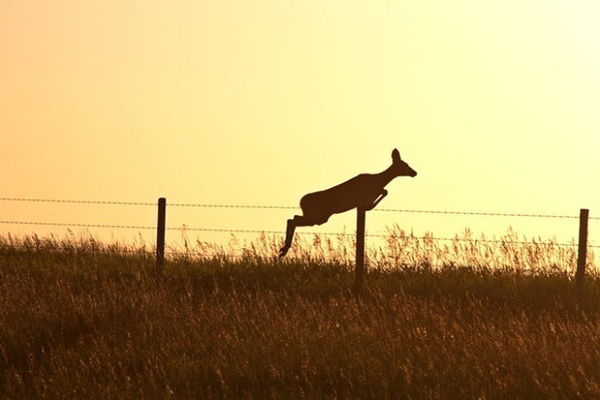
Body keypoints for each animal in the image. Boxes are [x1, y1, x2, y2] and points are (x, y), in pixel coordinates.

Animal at [278, 148, 414, 258]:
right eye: (404, 165)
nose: (414, 172)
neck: (377, 181)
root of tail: (301, 201)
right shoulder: (366, 193)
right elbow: (383, 192)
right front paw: (369, 206)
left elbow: (384, 191)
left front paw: (369, 205)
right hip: (318, 216)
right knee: (292, 220)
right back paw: (284, 249)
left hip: (318, 217)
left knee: (293, 218)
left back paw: (283, 250)